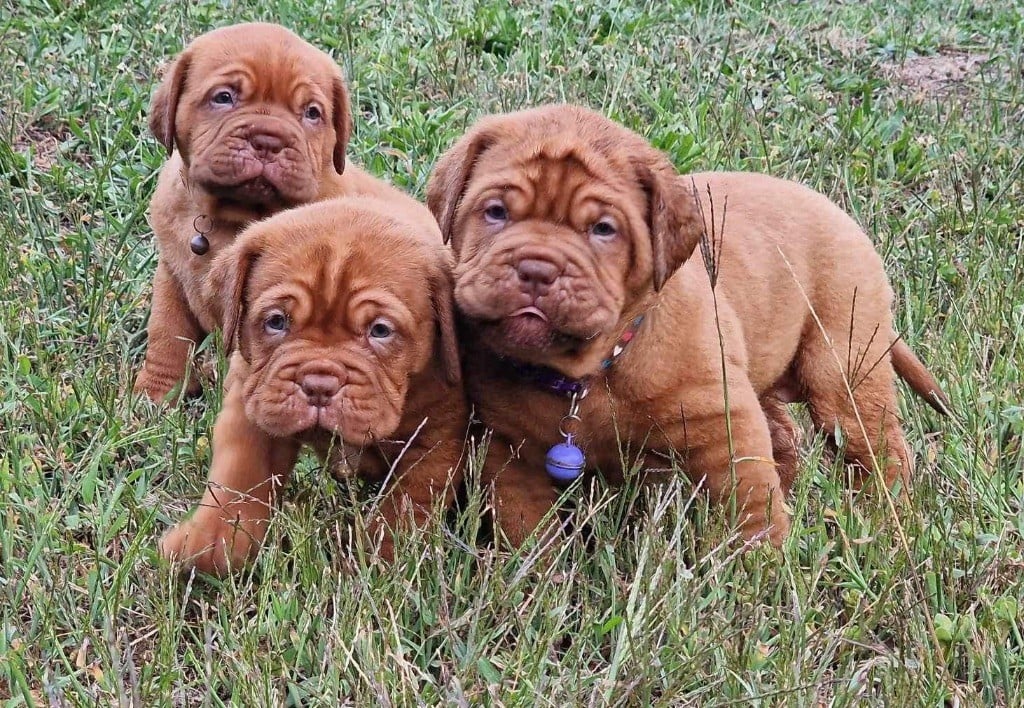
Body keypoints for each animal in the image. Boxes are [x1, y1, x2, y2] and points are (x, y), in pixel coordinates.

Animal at [135, 24, 432, 401]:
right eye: (223, 97)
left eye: (312, 113)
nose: (268, 140)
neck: (232, 218)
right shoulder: (173, 278)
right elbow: (166, 335)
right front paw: (153, 394)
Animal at [157, 196, 466, 573]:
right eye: (277, 322)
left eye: (380, 330)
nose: (319, 384)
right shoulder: (255, 408)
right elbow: (239, 478)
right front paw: (211, 545)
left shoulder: (436, 440)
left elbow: (405, 509)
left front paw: (381, 563)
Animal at [428, 103, 946, 549]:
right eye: (495, 212)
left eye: (603, 229)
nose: (536, 269)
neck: (588, 373)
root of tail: (840, 214)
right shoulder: (510, 454)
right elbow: (527, 530)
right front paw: (538, 579)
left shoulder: (723, 425)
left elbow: (751, 506)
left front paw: (761, 571)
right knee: (786, 435)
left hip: (843, 371)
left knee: (877, 451)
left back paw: (887, 520)